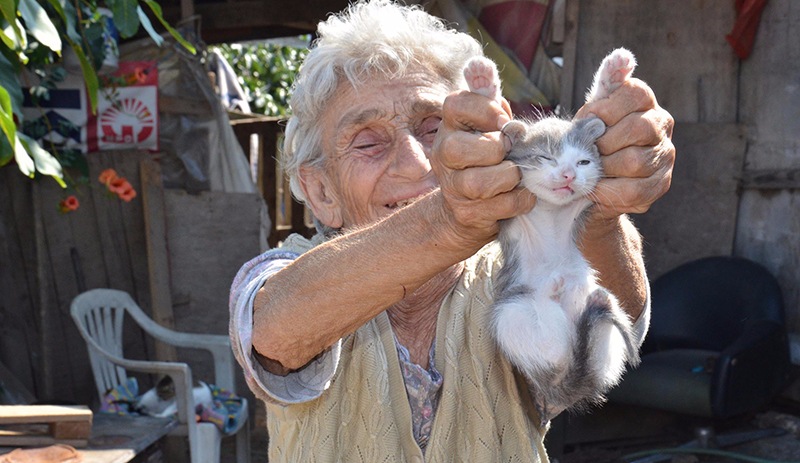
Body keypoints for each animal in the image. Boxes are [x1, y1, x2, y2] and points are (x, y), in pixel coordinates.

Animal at [462, 48, 644, 424]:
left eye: (584, 162)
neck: (553, 211)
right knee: (550, 342)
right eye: (546, 157)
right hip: (514, 306)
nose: (568, 174)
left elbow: (597, 103)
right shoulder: (510, 219)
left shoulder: (583, 209)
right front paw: (482, 82)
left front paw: (613, 76)